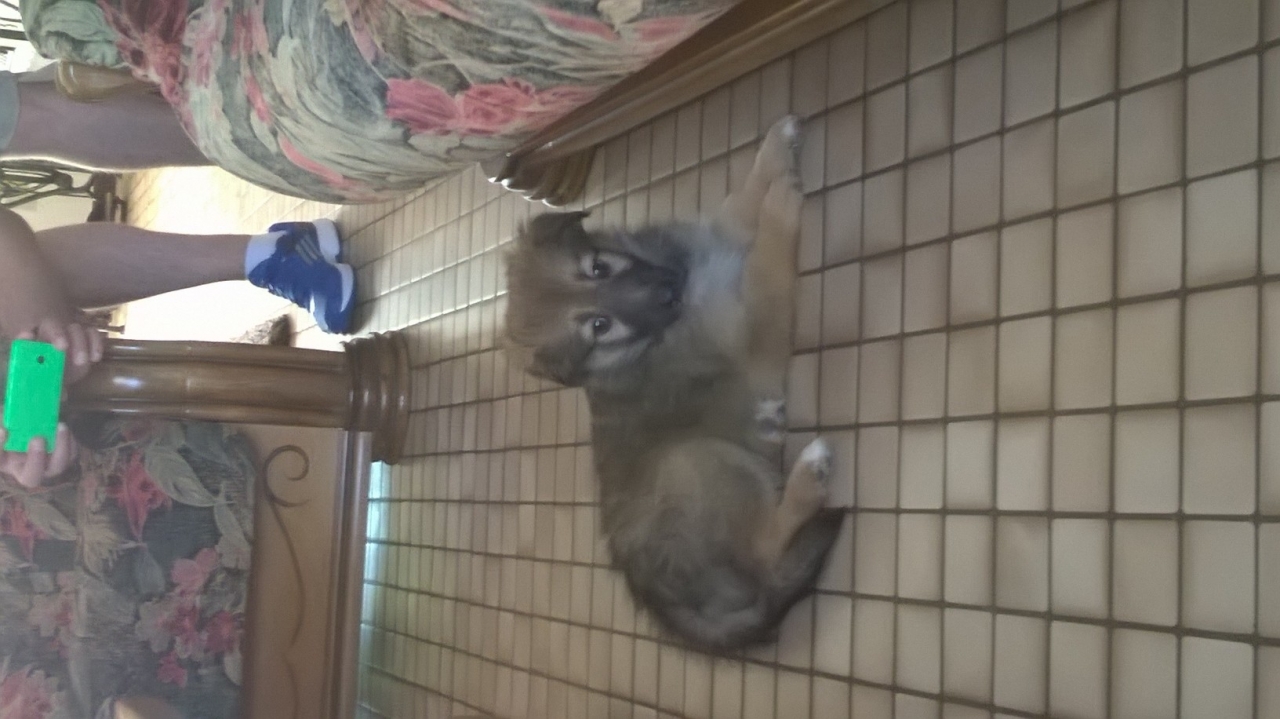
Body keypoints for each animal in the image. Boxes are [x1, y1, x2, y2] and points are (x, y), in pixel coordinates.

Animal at [503, 116, 845, 652]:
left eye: (598, 267)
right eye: (599, 327)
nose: (672, 288)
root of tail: (660, 598)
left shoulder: (714, 236)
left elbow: (741, 195)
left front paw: (777, 148)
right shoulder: (755, 323)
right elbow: (769, 251)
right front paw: (782, 200)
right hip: (697, 461)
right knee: (765, 550)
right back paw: (811, 474)